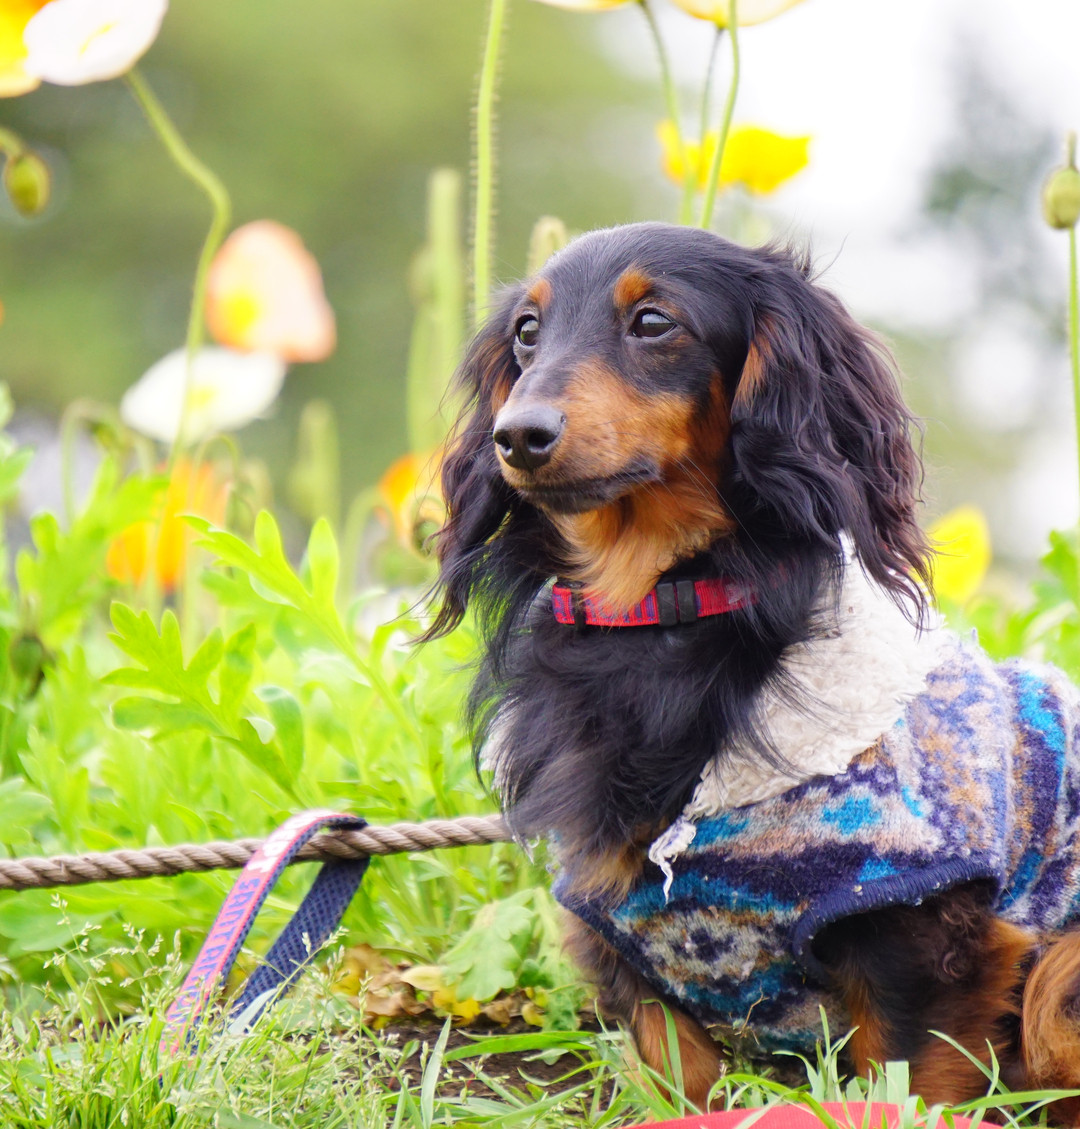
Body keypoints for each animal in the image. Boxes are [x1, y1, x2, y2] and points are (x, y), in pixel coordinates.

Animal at [424, 222, 1080, 1114]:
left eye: (654, 322)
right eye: (527, 332)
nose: (518, 436)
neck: (661, 610)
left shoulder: (920, 924)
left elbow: (904, 1078)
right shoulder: (628, 948)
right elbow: (682, 1084)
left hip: (1059, 978)